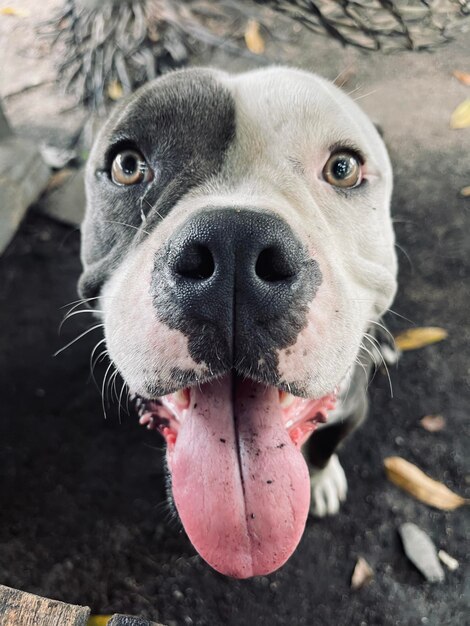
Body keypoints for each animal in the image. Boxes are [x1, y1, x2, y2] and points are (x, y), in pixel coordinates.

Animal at [78, 67, 396, 576]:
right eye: (127, 165)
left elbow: (327, 444)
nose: (233, 244)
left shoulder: (351, 409)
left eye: (343, 168)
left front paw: (323, 479)